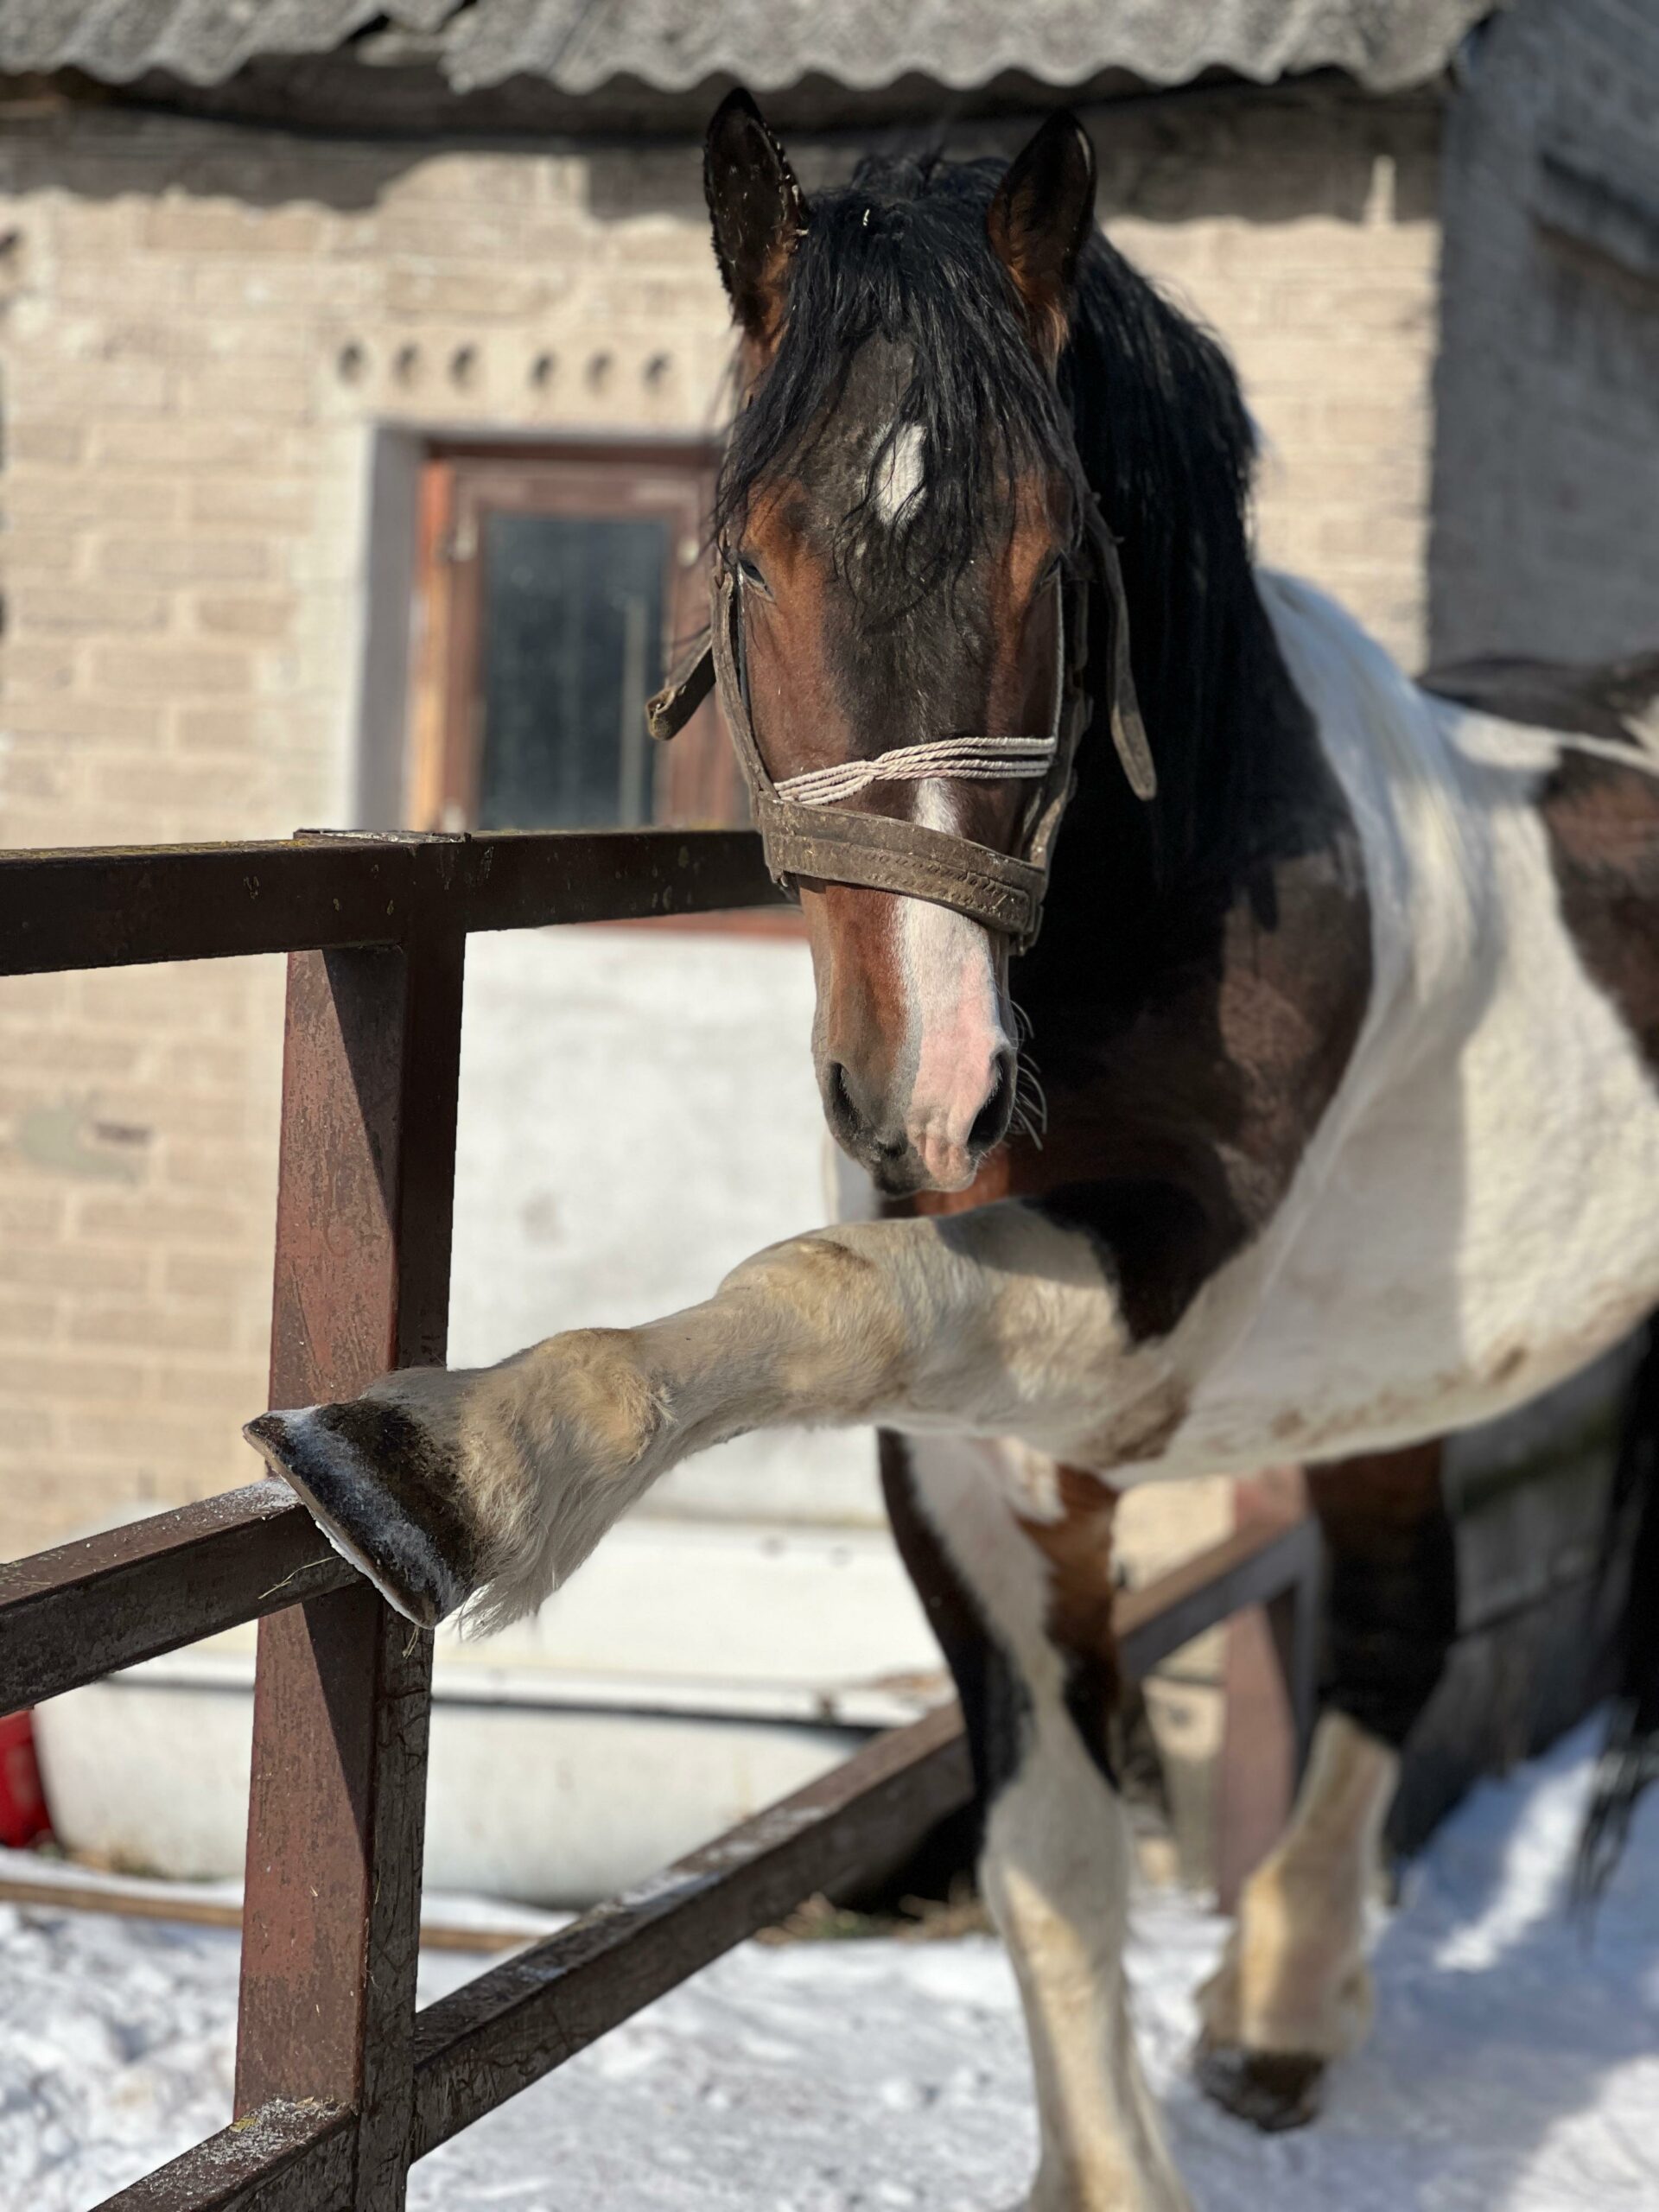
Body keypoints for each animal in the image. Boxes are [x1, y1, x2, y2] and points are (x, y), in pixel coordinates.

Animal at [247, 92, 1659, 2212]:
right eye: (745, 559)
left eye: (1057, 563)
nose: (934, 1088)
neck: (1194, 869)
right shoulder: (986, 1461)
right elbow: (1052, 1862)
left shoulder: (1143, 1322)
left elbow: (822, 1291)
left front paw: (452, 1467)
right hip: (1387, 1377)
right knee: (1398, 1619)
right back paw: (1281, 2010)